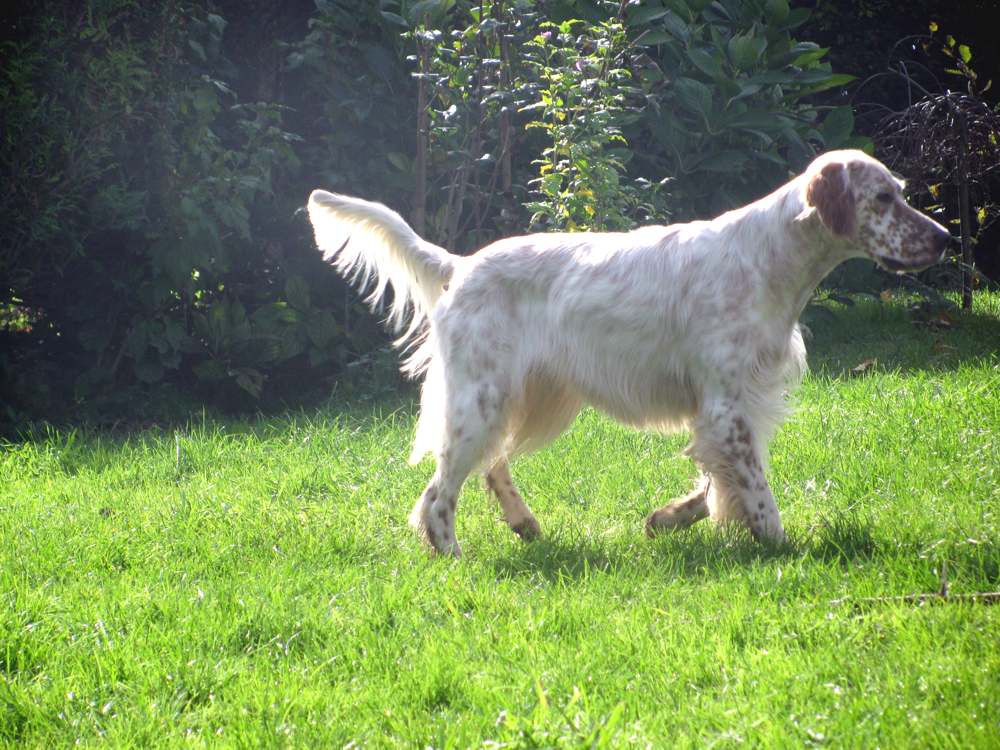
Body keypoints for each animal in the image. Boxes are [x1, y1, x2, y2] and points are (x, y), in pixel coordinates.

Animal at [308, 149, 950, 556]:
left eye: (901, 194)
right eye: (883, 197)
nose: (945, 238)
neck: (767, 258)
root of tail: (459, 265)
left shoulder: (731, 405)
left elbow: (713, 487)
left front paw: (669, 519)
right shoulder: (727, 405)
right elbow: (757, 492)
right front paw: (780, 546)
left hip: (527, 397)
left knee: (490, 466)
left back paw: (523, 522)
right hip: (481, 400)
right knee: (437, 493)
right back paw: (452, 554)